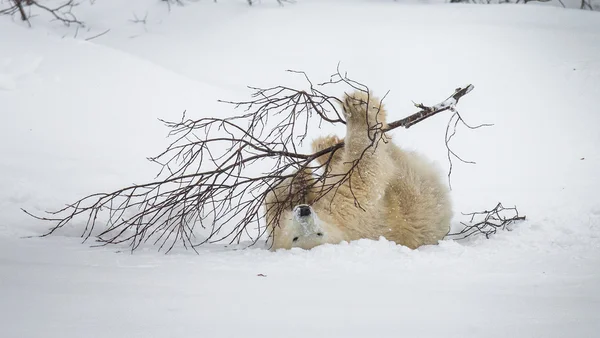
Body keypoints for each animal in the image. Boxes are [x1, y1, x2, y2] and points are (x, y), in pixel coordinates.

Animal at [262, 91, 450, 250]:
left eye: (318, 233)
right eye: (296, 238)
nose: (304, 211)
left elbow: (274, 198)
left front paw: (300, 179)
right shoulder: (349, 212)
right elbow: (363, 172)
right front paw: (358, 109)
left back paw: (325, 146)